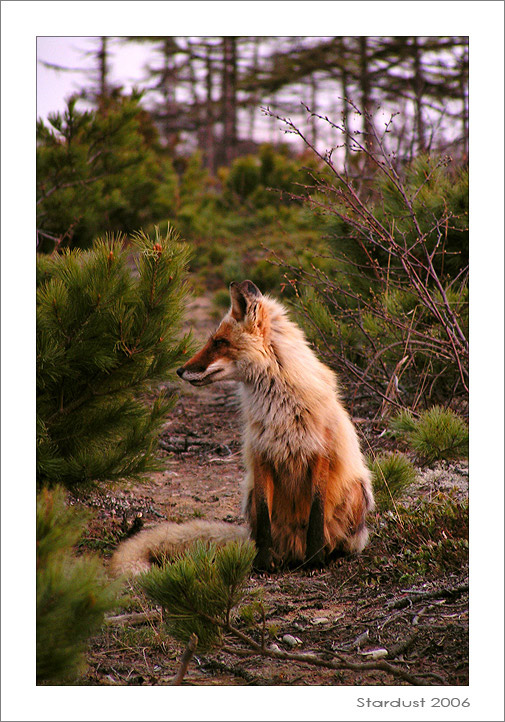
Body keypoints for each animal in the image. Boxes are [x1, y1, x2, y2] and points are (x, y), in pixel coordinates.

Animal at [108, 278, 372, 576]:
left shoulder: (320, 453)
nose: (179, 371)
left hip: (358, 491)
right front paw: (263, 563)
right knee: (260, 531)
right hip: (249, 497)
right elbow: (265, 520)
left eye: (220, 342)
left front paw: (315, 561)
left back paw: (329, 554)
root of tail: (291, 548)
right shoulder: (261, 455)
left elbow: (316, 515)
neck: (280, 409)